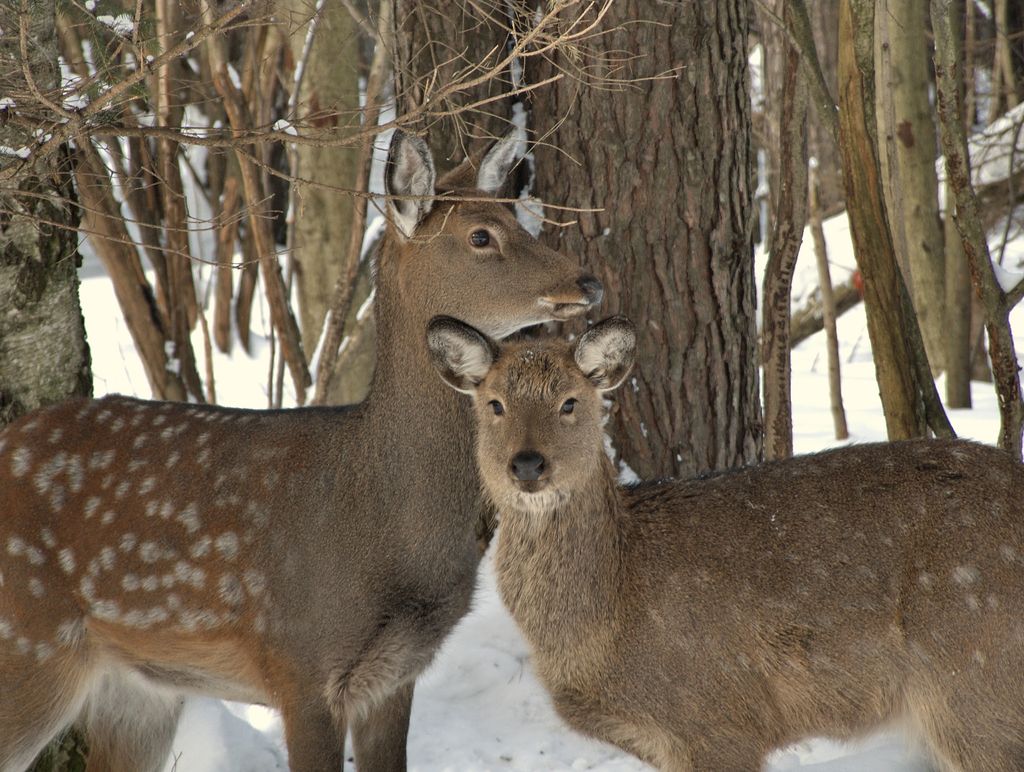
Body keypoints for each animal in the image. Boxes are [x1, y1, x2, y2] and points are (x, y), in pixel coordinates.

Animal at [0, 129, 602, 765]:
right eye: (482, 236)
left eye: (516, 215)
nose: (586, 282)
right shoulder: (301, 661)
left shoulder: (395, 674)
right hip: (28, 641)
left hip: (137, 687)